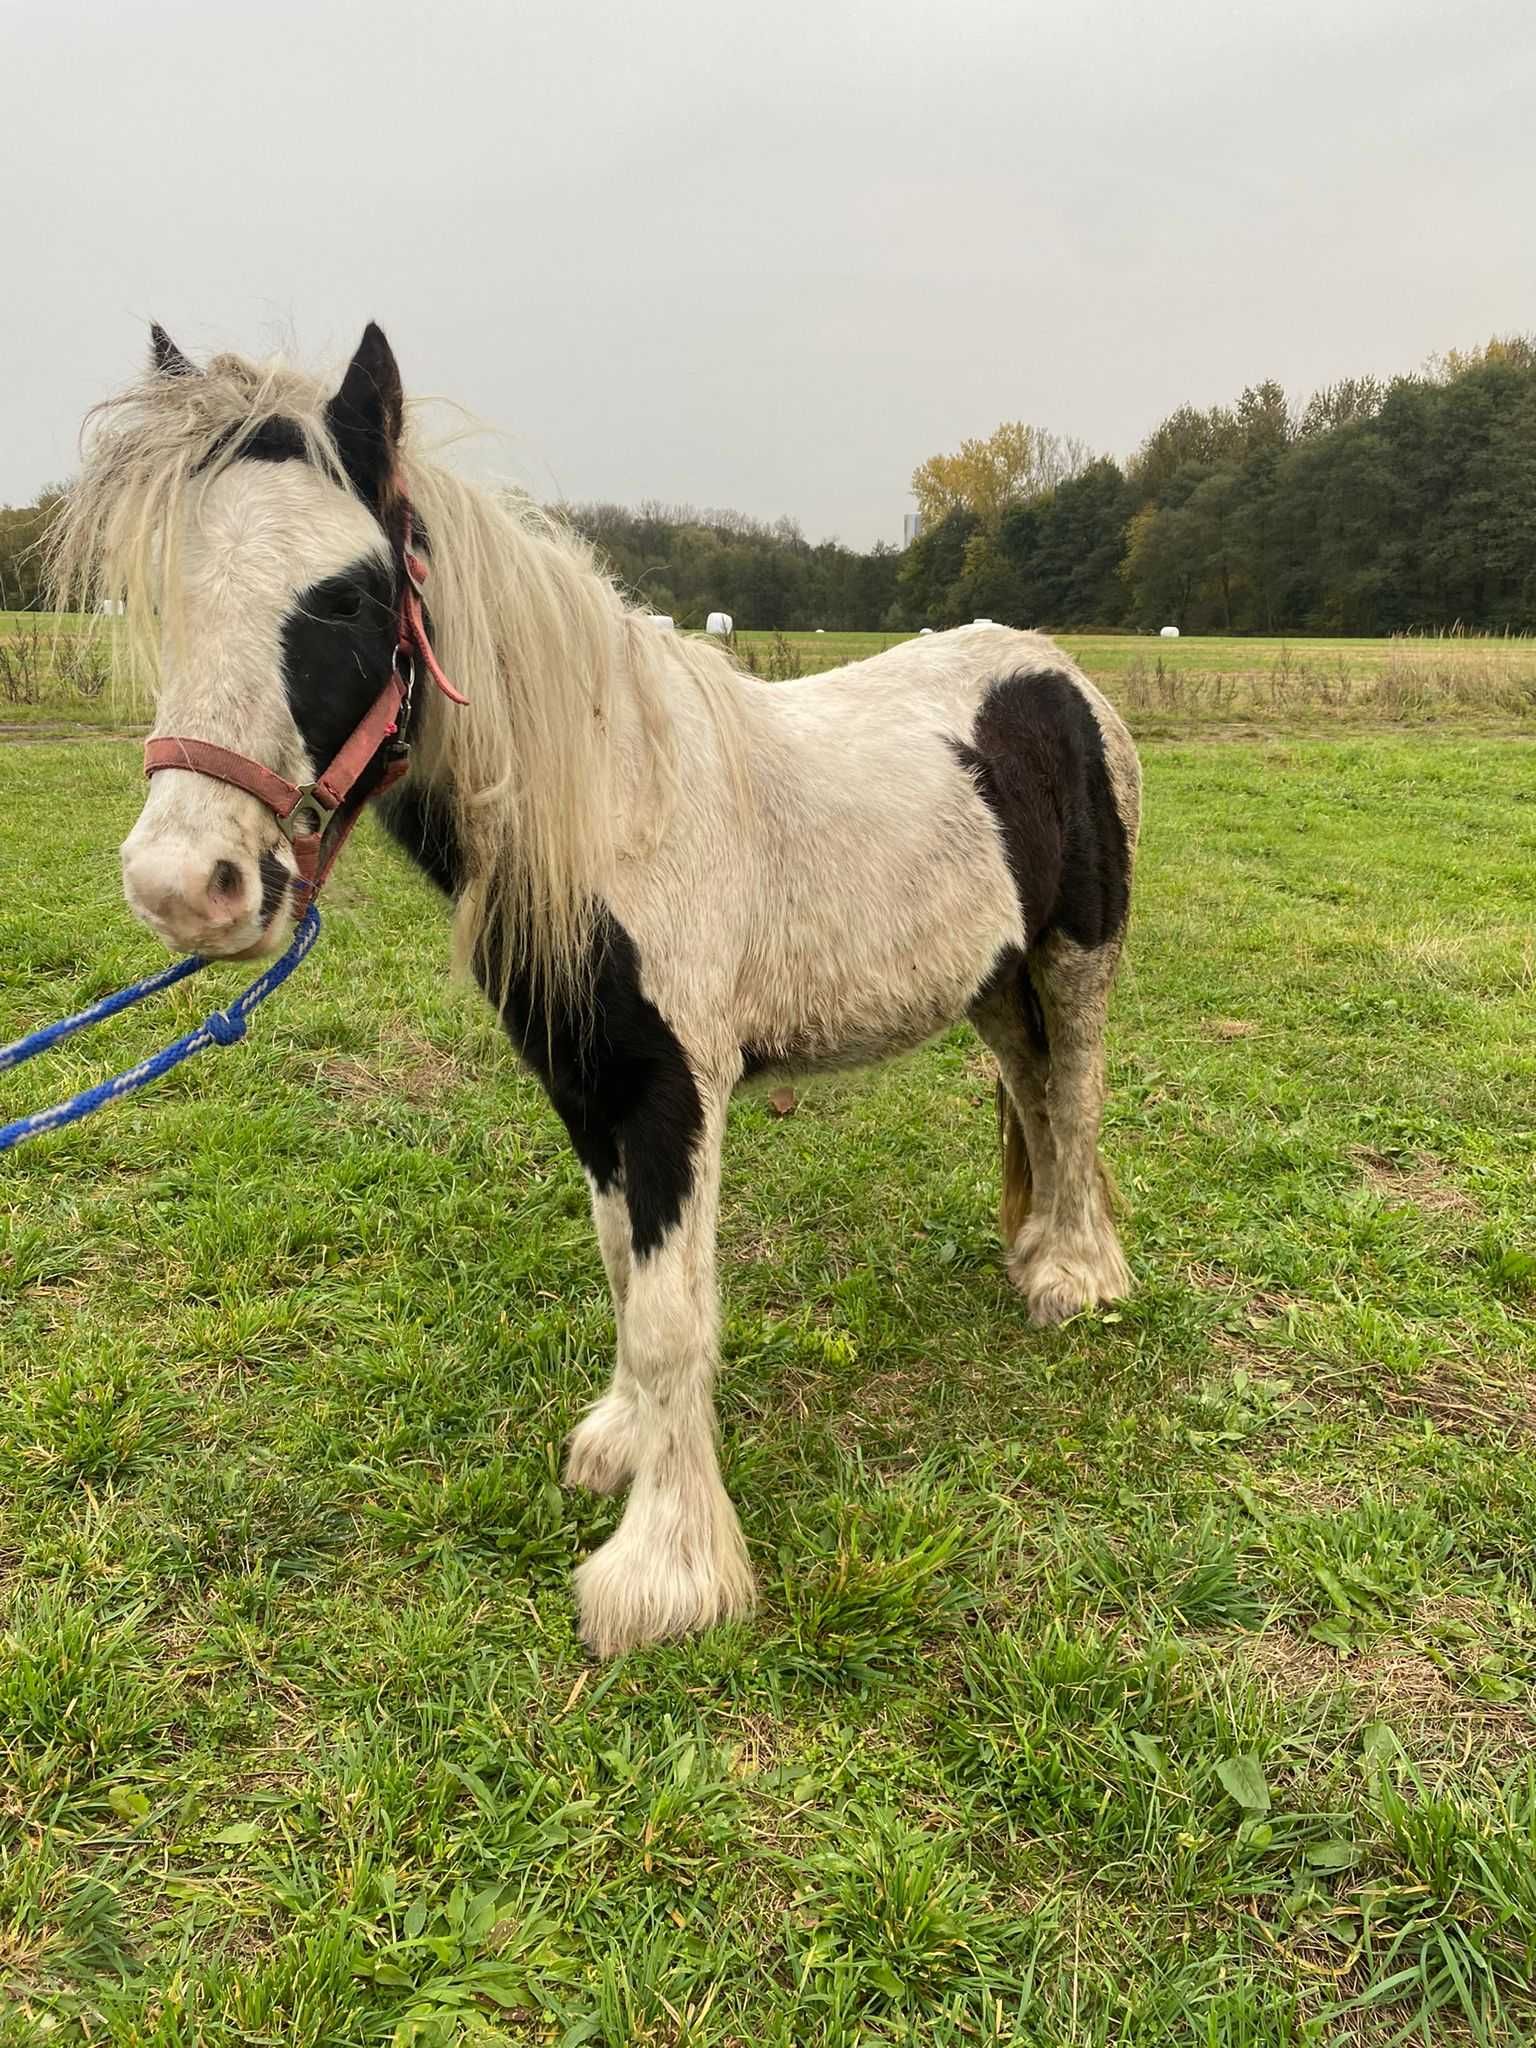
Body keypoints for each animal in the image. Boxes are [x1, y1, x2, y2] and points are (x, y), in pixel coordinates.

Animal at [51, 323, 1146, 1662]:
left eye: (350, 597)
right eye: (170, 598)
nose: (184, 885)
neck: (617, 815)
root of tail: (1057, 677)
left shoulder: (676, 1090)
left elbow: (674, 1310)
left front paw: (665, 1575)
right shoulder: (585, 1086)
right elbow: (626, 1270)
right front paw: (623, 1444)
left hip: (1077, 955)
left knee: (1076, 1095)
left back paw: (1075, 1277)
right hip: (993, 977)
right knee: (1035, 1095)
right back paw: (1040, 1251)